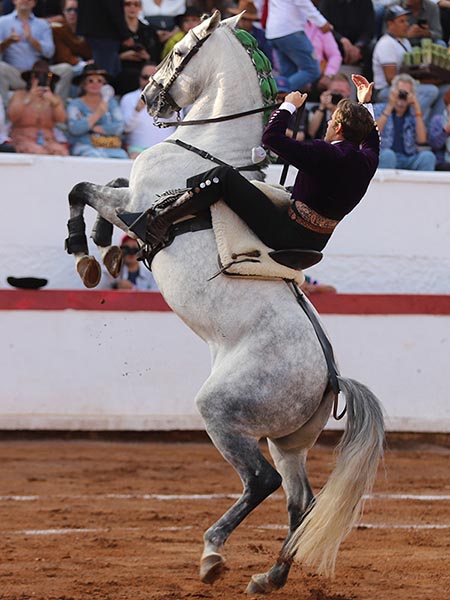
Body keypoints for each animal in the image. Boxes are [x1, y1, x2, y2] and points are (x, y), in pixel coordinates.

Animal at [65, 11, 384, 592]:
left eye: (179, 50)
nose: (148, 96)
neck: (210, 146)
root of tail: (331, 378)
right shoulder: (129, 196)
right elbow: (103, 183)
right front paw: (105, 248)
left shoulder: (135, 199)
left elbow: (82, 187)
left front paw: (84, 251)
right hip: (288, 441)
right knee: (301, 500)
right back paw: (270, 576)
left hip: (221, 413)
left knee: (260, 482)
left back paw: (213, 553)